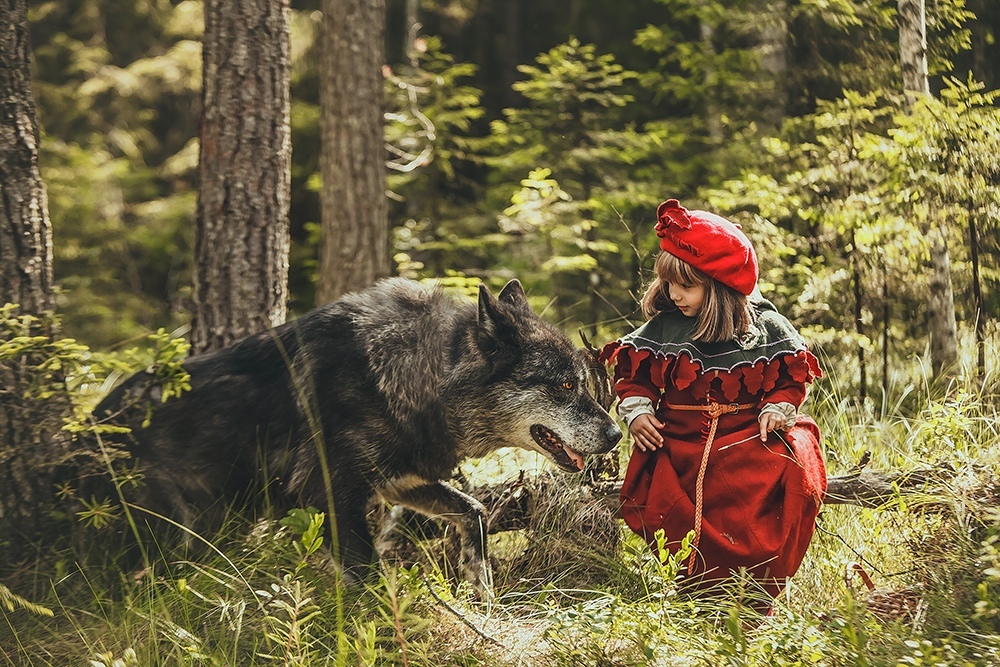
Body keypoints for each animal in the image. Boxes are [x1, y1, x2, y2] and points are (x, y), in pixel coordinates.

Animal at [95, 280, 624, 592]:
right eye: (565, 385)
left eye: (581, 381)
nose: (618, 434)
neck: (424, 378)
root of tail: (98, 421)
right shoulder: (332, 492)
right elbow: (369, 579)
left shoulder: (401, 480)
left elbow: (473, 512)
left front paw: (481, 594)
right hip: (178, 532)